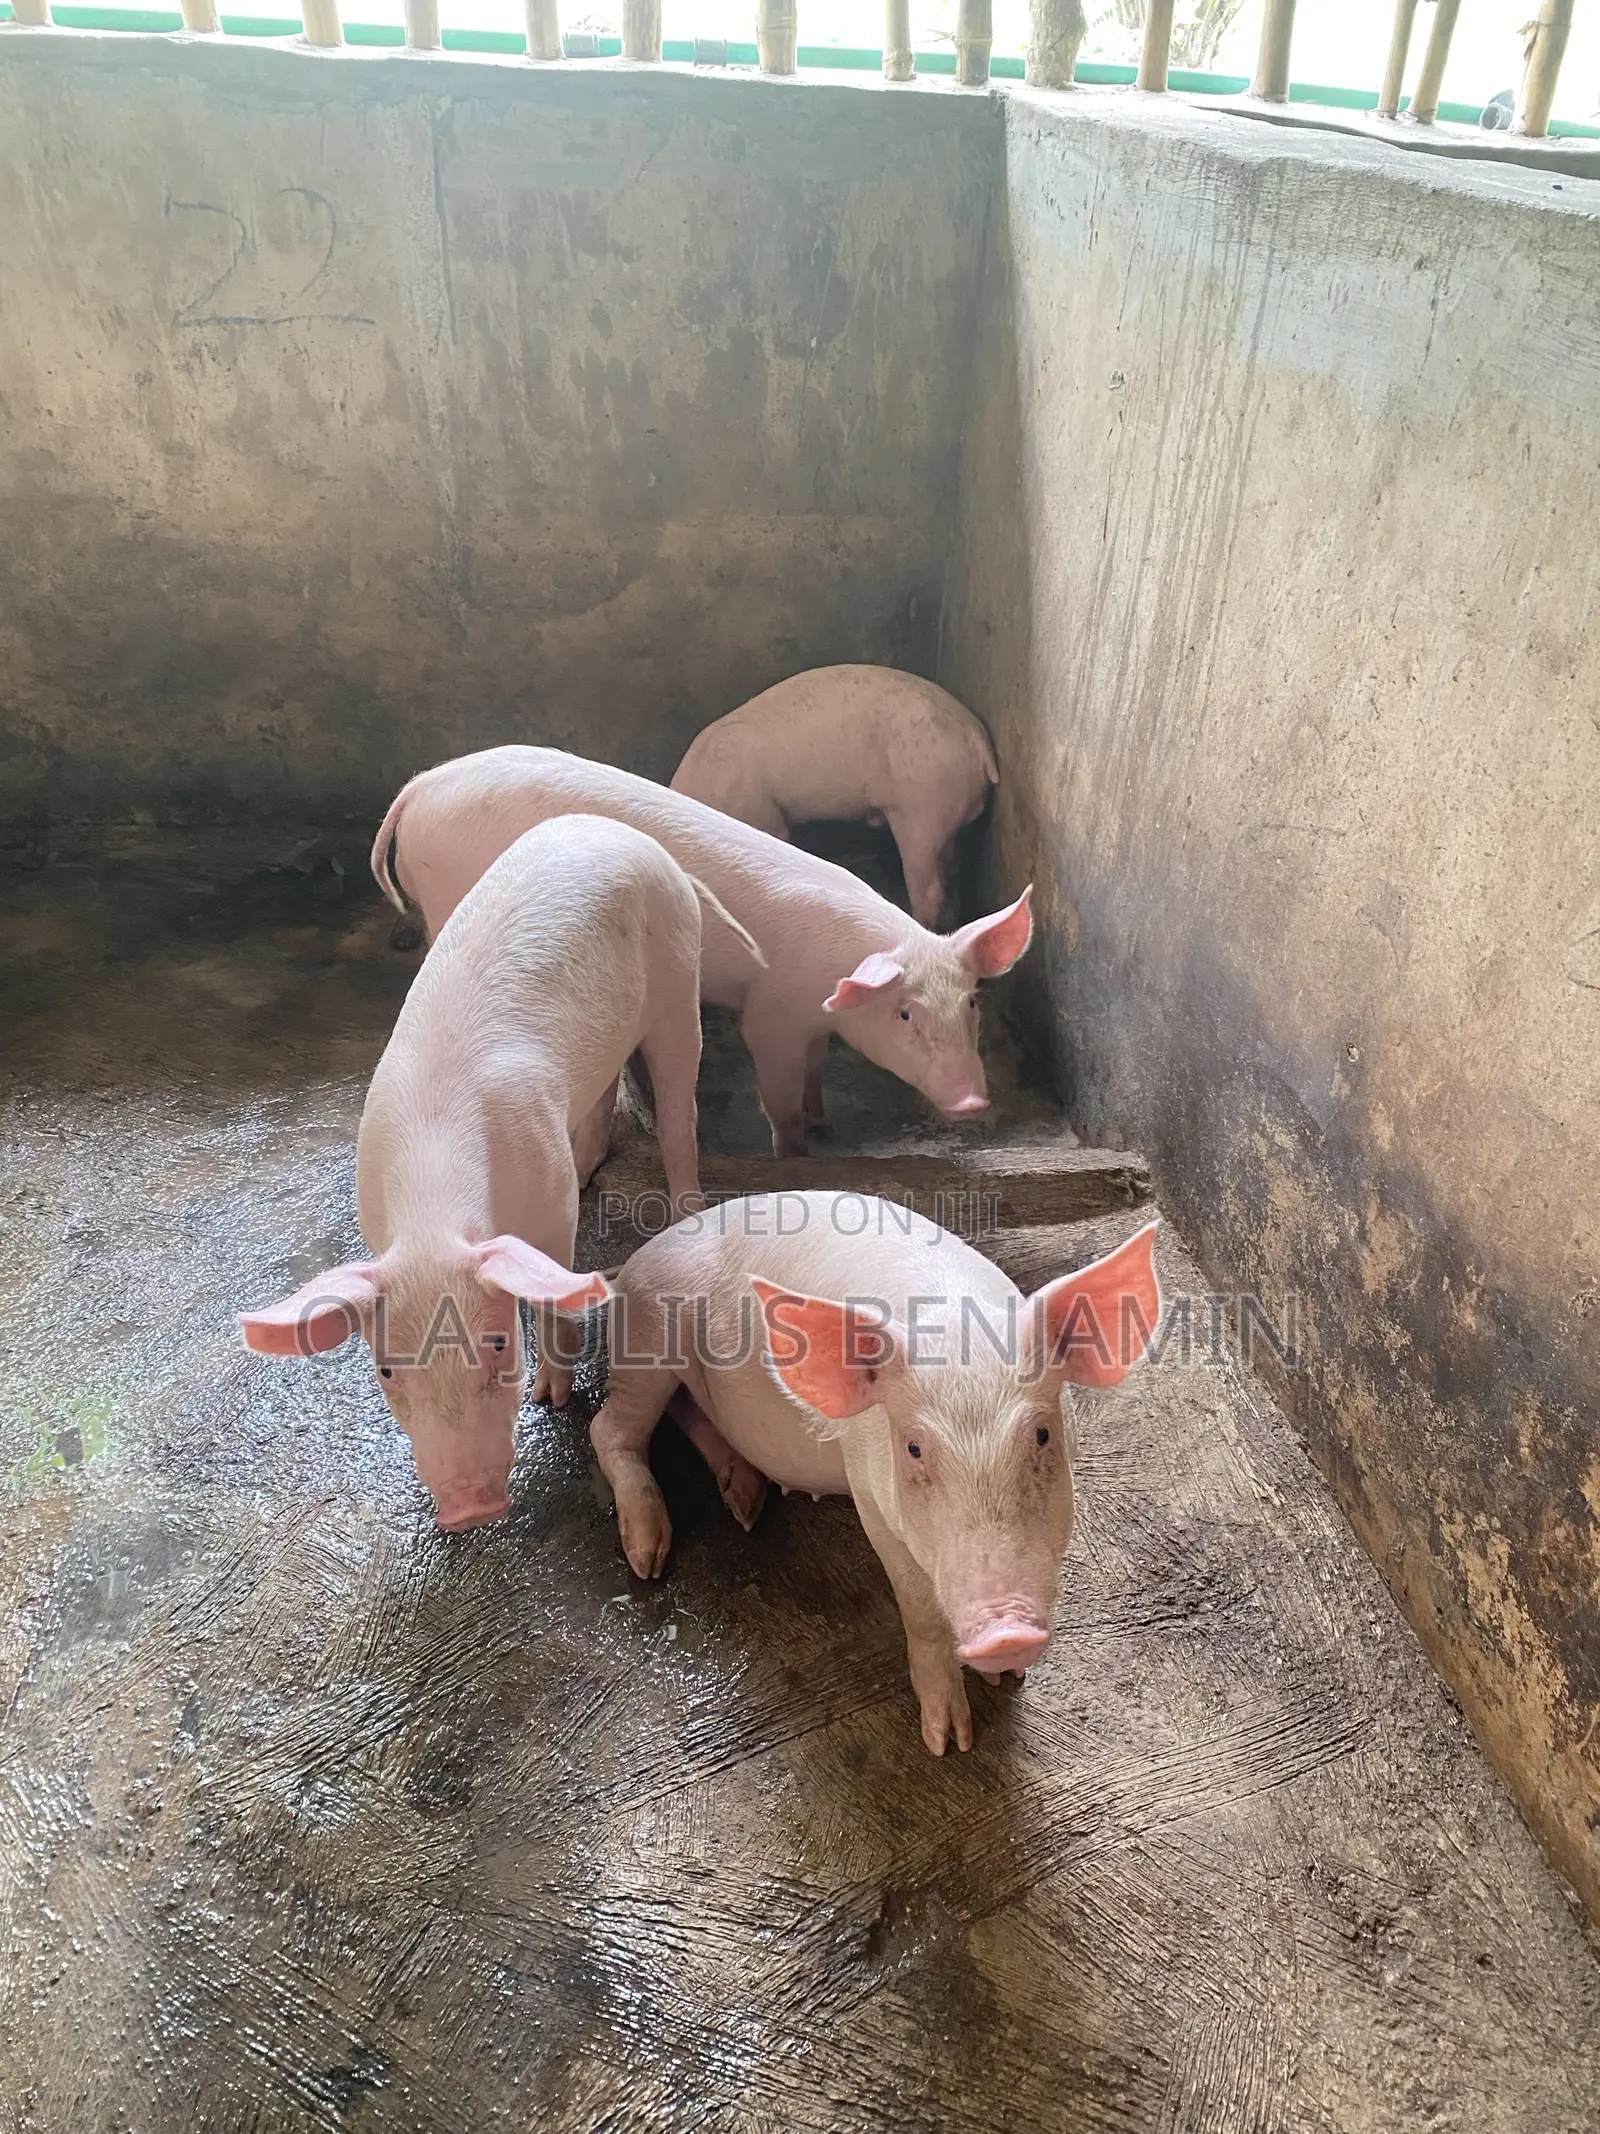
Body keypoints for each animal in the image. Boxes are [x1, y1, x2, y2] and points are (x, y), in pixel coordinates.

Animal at [238, 815, 763, 1531]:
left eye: (495, 1345)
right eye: (387, 1372)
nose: (468, 1507)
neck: (433, 1213)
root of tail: (634, 836)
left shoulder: (550, 1199)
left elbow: (554, 1280)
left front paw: (551, 1397)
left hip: (680, 976)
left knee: (681, 1109)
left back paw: (685, 1207)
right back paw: (591, 1165)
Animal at [371, 745, 1033, 1159]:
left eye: (972, 1005)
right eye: (905, 1014)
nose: (973, 1100)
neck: (829, 986)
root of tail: (419, 786)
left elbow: (816, 1069)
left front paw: (824, 1119)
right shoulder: (769, 1015)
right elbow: (778, 1100)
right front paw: (798, 1151)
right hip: (447, 896)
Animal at [591, 1194, 1161, 1752]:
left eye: (1042, 1436)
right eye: (913, 1448)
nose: (1007, 1634)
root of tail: (638, 1259)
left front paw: (1008, 1680)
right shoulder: (866, 1487)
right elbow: (918, 1604)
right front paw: (947, 1742)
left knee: (686, 1411)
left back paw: (747, 1503)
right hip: (648, 1338)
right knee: (610, 1428)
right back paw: (648, 1558)